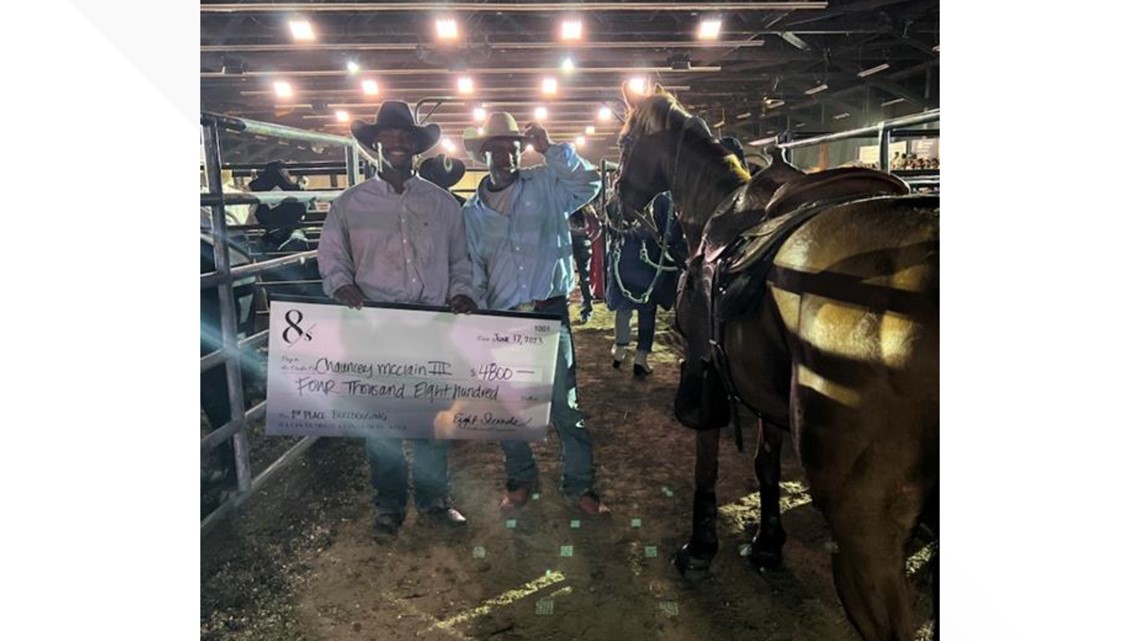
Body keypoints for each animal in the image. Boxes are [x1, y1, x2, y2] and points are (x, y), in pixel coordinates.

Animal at [620, 84, 939, 638]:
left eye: (622, 143)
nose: (612, 200)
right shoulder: (761, 387)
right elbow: (765, 464)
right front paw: (768, 543)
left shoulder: (707, 372)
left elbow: (706, 465)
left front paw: (699, 549)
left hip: (864, 534)